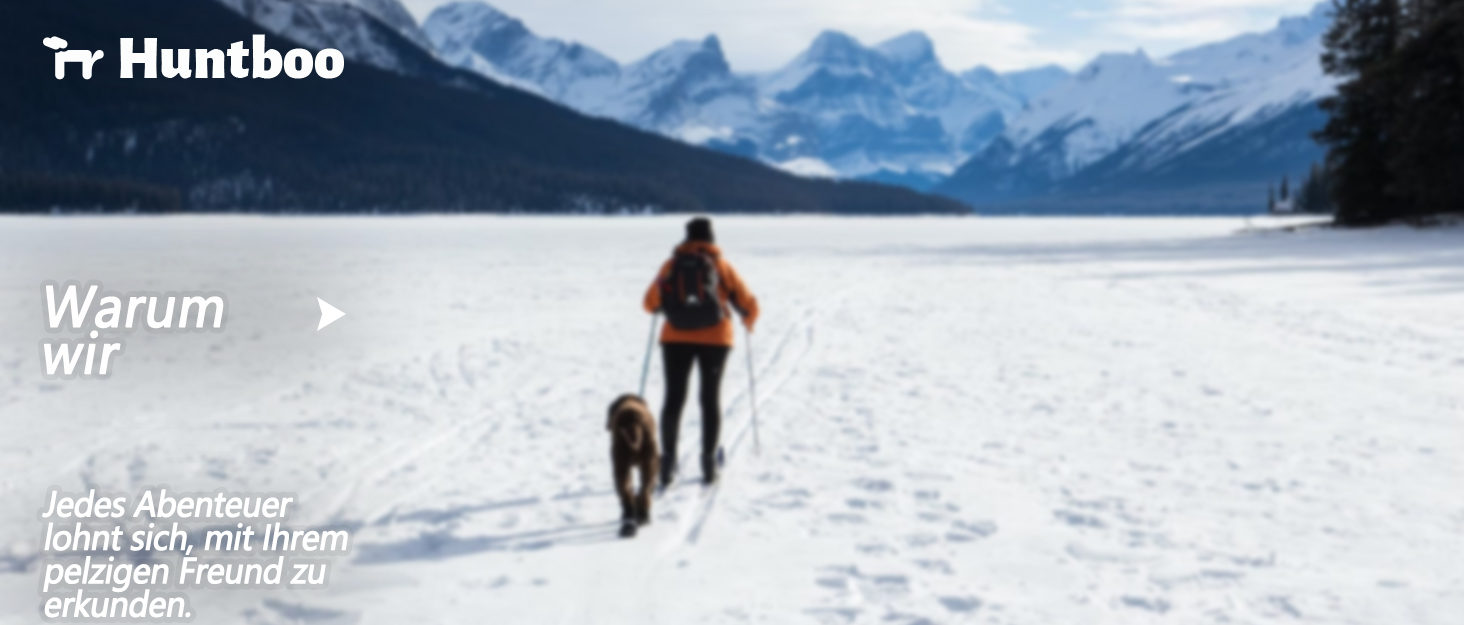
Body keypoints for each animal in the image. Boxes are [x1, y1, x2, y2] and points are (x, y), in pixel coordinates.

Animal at [603, 395, 661, 538]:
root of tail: (632, 423)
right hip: (647, 463)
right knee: (644, 491)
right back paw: (642, 517)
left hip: (622, 465)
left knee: (629, 493)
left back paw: (630, 523)